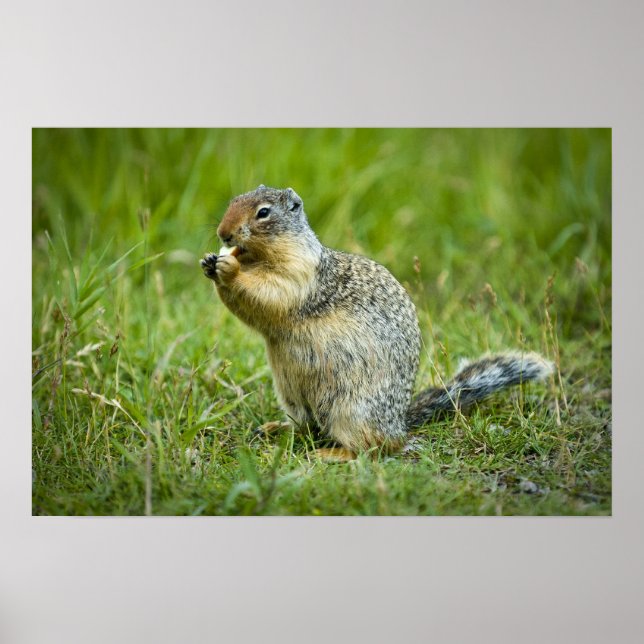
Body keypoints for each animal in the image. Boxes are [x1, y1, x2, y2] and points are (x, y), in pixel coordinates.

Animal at [201, 185, 553, 459]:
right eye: (234, 200)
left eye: (263, 212)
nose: (223, 233)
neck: (258, 259)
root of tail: (400, 422)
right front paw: (209, 262)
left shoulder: (298, 275)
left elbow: (271, 293)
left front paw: (229, 268)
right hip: (291, 398)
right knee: (306, 427)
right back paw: (275, 428)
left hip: (354, 412)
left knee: (376, 448)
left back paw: (332, 454)